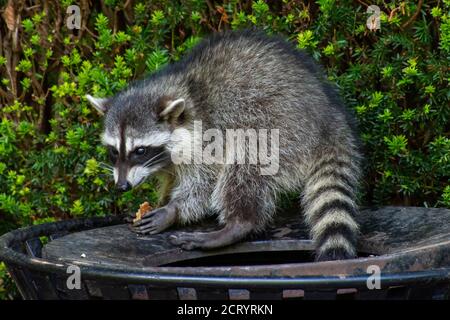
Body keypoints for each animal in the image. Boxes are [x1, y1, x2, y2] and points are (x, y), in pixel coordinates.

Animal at [87, 28, 362, 262]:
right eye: (114, 151)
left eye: (140, 150)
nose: (122, 186)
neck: (183, 90)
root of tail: (329, 117)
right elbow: (171, 178)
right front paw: (162, 200)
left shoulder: (208, 134)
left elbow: (205, 181)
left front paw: (173, 210)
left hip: (280, 127)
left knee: (245, 165)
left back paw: (238, 224)